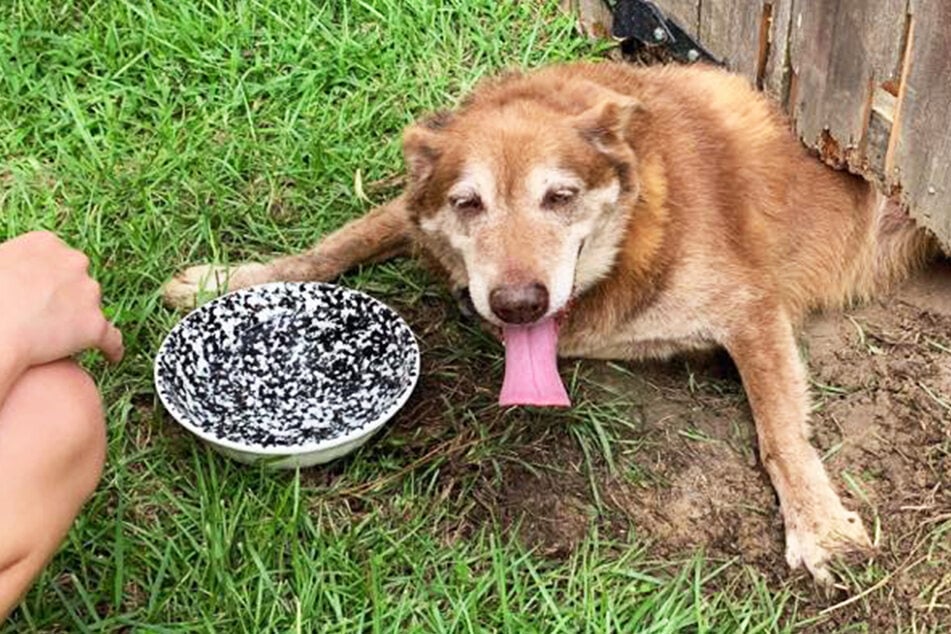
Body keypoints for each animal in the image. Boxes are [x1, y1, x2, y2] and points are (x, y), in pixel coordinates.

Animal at [162, 61, 936, 580]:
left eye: (559, 197)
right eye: (468, 204)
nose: (518, 305)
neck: (636, 232)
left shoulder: (750, 309)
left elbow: (779, 431)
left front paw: (816, 525)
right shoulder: (408, 213)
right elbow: (334, 244)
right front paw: (234, 277)